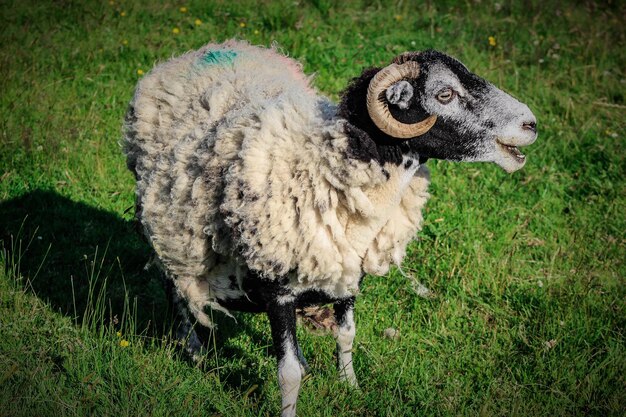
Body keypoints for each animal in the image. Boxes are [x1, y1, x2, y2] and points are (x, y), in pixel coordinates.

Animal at [123, 39, 536, 416]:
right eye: (445, 93)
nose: (531, 124)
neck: (327, 169)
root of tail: (192, 53)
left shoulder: (348, 274)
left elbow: (346, 335)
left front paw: (350, 386)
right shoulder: (277, 292)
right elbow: (287, 372)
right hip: (166, 225)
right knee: (175, 285)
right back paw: (192, 348)